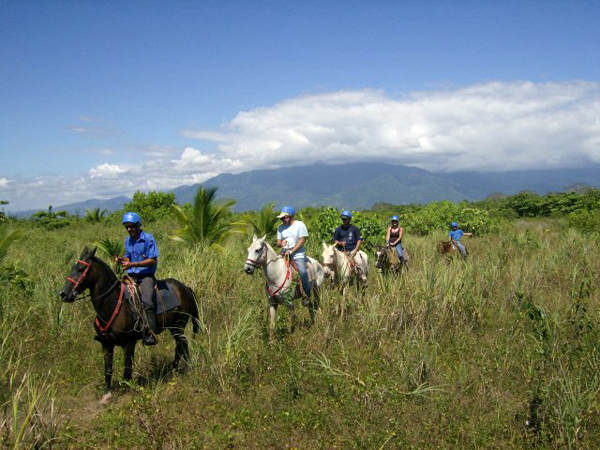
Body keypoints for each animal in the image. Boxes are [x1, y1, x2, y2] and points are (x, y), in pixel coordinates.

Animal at [59, 246, 199, 404]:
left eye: (81, 269)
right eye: (73, 267)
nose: (63, 294)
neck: (113, 303)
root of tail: (185, 288)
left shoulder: (129, 343)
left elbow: (127, 370)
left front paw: (127, 392)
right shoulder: (106, 344)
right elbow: (108, 370)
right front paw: (107, 395)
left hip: (178, 326)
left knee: (183, 344)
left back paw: (184, 368)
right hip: (174, 328)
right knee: (180, 345)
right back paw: (175, 368)